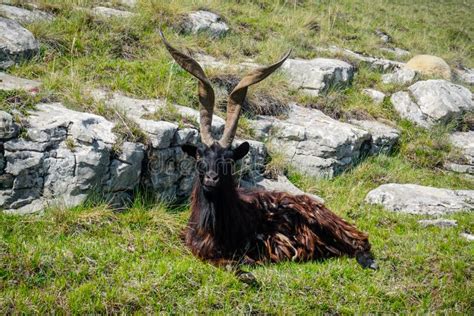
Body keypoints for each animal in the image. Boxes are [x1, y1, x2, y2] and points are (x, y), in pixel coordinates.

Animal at [160, 30, 378, 280]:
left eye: (229, 159)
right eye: (199, 157)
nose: (211, 179)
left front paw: (247, 275)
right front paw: (245, 274)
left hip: (329, 224)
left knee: (361, 240)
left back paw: (369, 262)